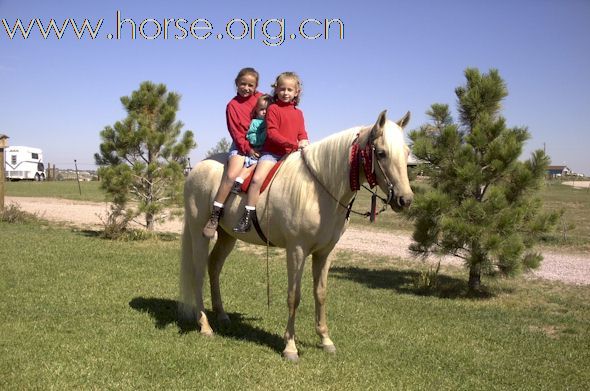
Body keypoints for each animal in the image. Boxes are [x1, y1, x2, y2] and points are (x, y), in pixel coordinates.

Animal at [180, 110, 416, 362]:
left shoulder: (325, 253)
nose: (405, 199)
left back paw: (222, 316)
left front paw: (325, 340)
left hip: (227, 237)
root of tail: (196, 169)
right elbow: (294, 296)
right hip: (199, 233)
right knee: (198, 273)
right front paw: (290, 347)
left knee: (214, 267)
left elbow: (320, 293)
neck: (317, 190)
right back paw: (205, 326)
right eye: (381, 153)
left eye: (406, 152)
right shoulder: (297, 250)